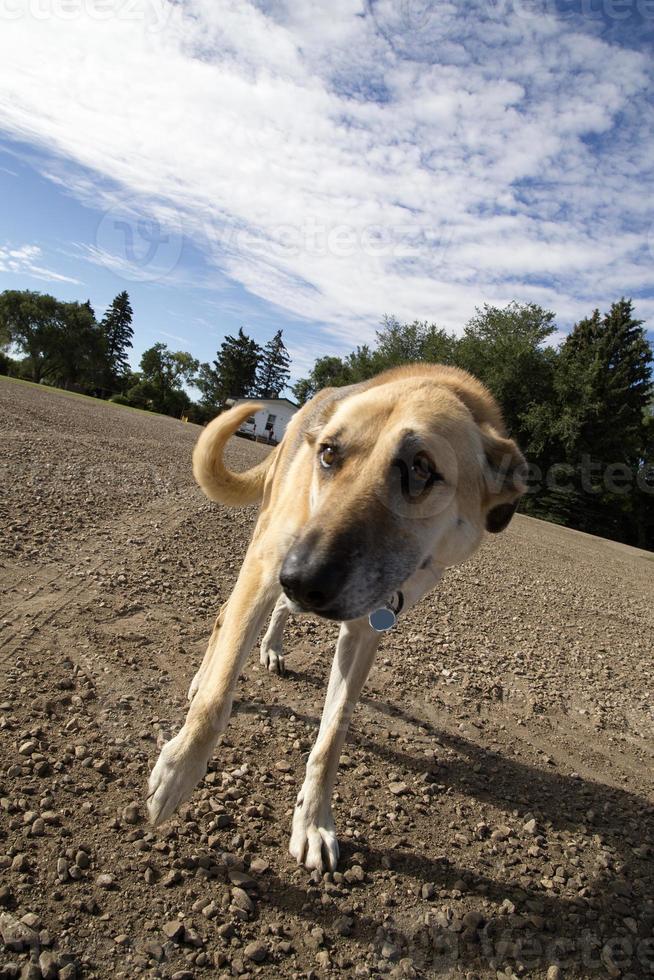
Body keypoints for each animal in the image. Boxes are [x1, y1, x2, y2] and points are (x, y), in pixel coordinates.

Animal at [147, 364, 528, 868]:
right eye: (329, 454)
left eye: (421, 469)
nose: (301, 579)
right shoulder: (269, 566)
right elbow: (218, 696)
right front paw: (179, 769)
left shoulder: (366, 630)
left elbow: (331, 738)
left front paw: (312, 821)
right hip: (265, 552)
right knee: (226, 620)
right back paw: (203, 676)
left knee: (277, 613)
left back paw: (272, 646)